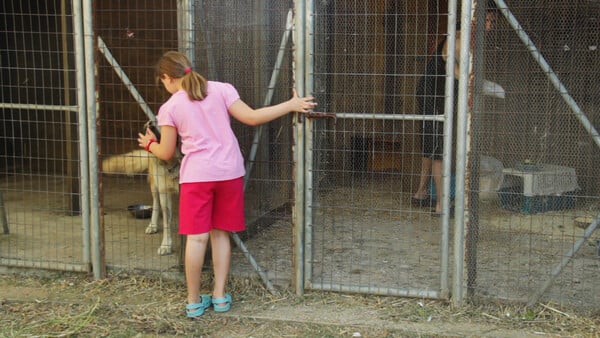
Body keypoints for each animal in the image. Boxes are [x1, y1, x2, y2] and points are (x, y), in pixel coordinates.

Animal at [102, 123, 182, 255]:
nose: (149, 125)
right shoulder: (164, 193)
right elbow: (167, 223)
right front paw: (166, 246)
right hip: (155, 186)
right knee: (156, 203)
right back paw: (153, 225)